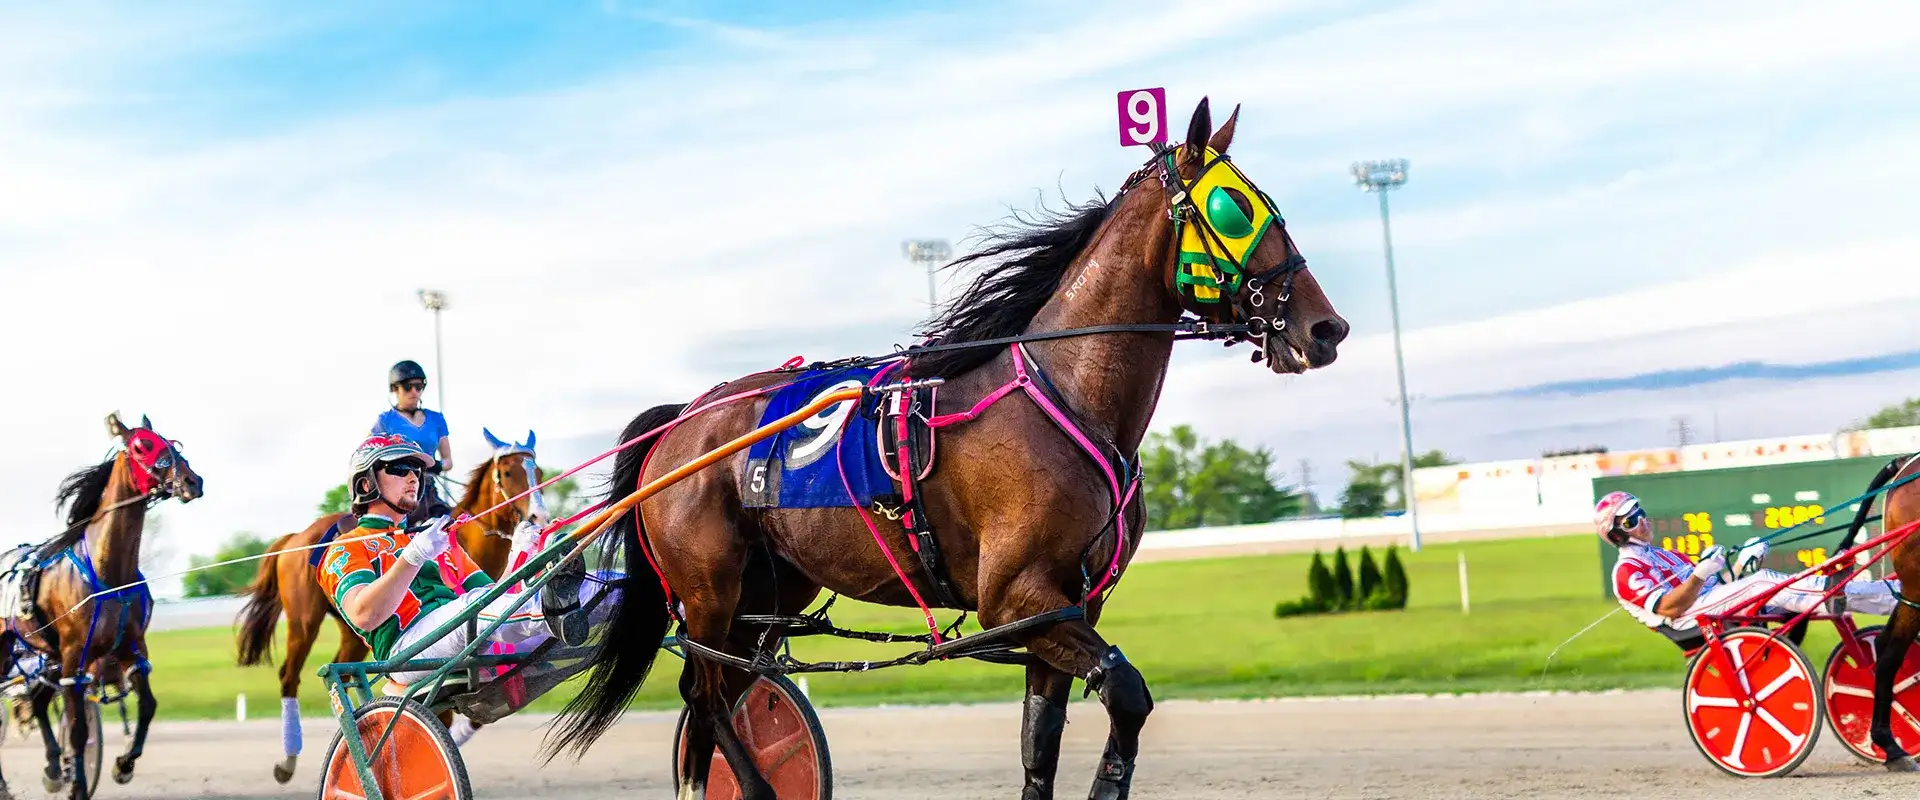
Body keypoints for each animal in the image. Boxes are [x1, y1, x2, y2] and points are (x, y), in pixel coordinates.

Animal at [0, 413, 202, 800]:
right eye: (142, 446)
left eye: (171, 442)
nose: (192, 481)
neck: (109, 570)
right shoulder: (73, 656)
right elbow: (79, 729)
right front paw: (79, 784)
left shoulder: (131, 647)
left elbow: (148, 706)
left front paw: (123, 765)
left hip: (45, 656)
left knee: (40, 703)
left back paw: (53, 768)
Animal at [233, 428, 549, 784]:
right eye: (507, 473)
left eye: (538, 472)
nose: (539, 516)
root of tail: (295, 537)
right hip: (305, 620)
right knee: (290, 676)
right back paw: (290, 760)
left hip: (350, 636)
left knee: (346, 671)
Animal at [548, 98, 1348, 800]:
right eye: (1234, 210)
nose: (1326, 329)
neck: (1065, 389)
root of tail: (681, 424)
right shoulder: (1015, 596)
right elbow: (1127, 693)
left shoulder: (1065, 609)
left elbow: (1040, 741)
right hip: (711, 593)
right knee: (706, 694)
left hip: (767, 597)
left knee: (722, 692)